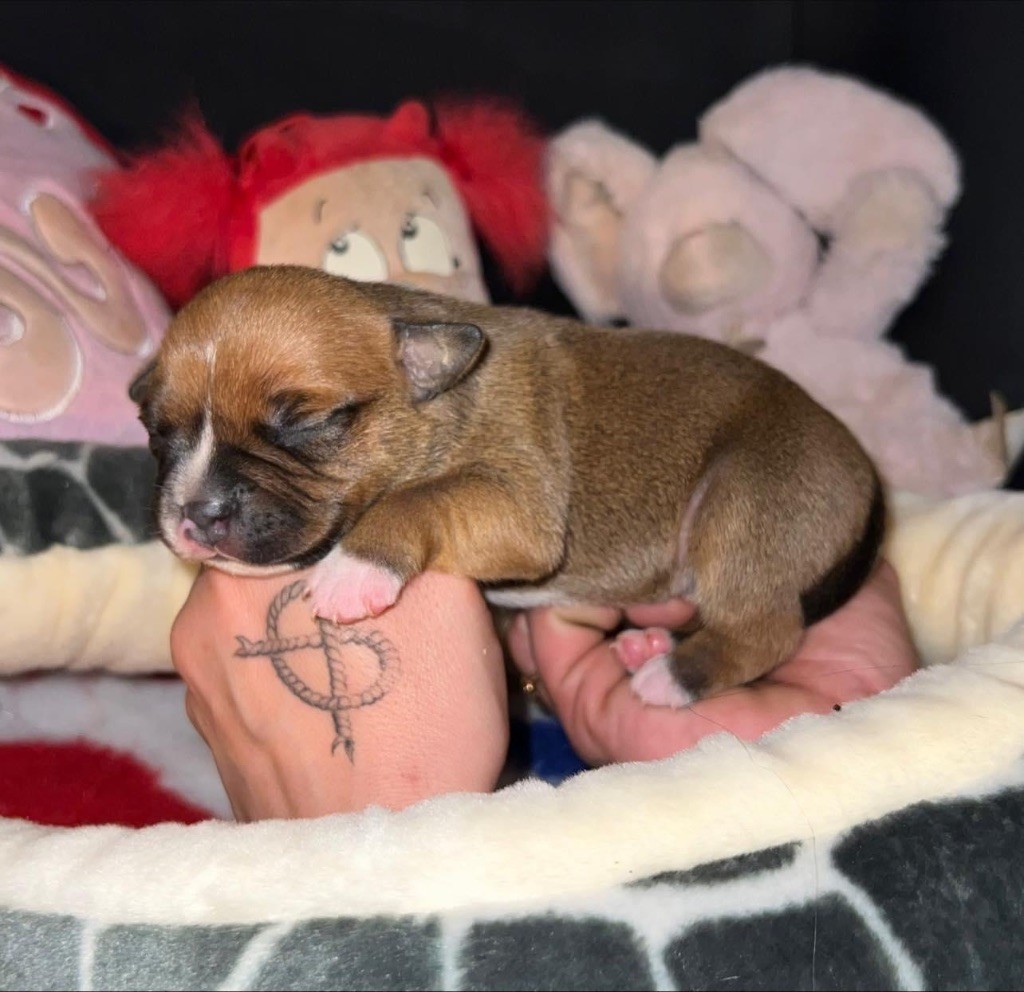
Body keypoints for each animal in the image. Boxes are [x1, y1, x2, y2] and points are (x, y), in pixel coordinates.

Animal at [131, 265, 884, 706]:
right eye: (156, 431)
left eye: (307, 422)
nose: (196, 513)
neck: (444, 398)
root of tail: (863, 471)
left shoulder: (521, 502)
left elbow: (416, 497)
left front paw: (355, 569)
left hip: (747, 496)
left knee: (765, 631)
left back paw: (672, 677)